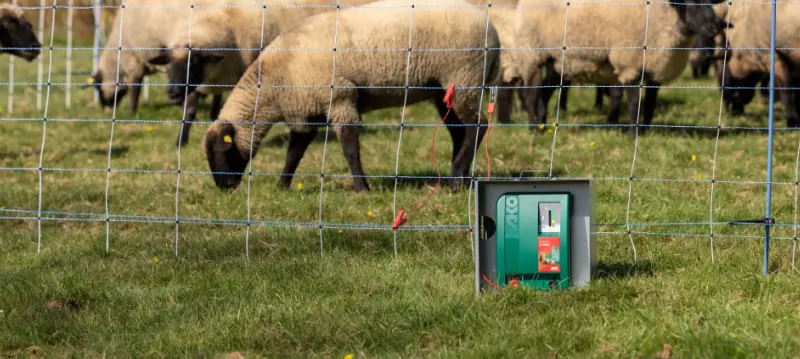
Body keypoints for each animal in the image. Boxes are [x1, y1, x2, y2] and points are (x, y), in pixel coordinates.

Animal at [203, 0, 496, 194]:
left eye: (220, 151)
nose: (224, 188)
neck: (274, 82)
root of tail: (492, 32)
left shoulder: (340, 99)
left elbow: (349, 148)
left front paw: (362, 188)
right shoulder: (307, 109)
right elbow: (294, 152)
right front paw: (282, 185)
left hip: (464, 77)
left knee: (478, 126)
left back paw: (456, 179)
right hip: (443, 89)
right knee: (459, 132)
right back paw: (459, 178)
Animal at [512, 0, 732, 135]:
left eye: (710, 3)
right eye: (691, 3)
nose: (715, 27)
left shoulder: (654, 68)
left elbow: (650, 104)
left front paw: (645, 131)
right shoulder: (630, 63)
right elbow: (635, 103)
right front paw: (633, 135)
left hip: (557, 61)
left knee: (544, 92)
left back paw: (543, 125)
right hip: (532, 53)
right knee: (531, 93)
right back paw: (533, 129)